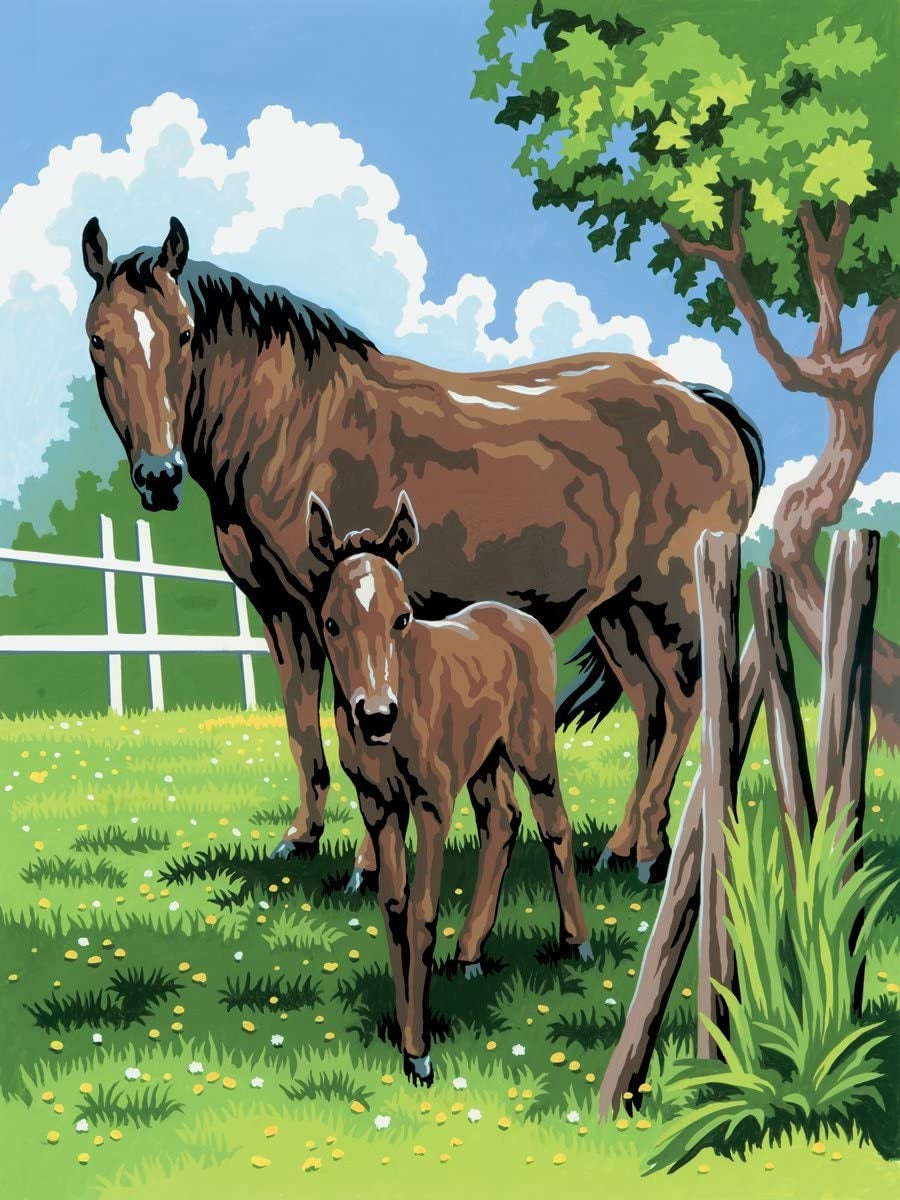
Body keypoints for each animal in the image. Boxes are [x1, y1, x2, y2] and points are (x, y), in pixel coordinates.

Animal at [81, 215, 764, 883]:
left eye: (185, 333)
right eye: (98, 341)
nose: (159, 475)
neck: (296, 427)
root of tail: (701, 401)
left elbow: (348, 717)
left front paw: (366, 866)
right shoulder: (284, 612)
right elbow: (301, 726)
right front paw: (301, 840)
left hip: (673, 599)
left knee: (687, 702)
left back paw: (649, 853)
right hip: (618, 610)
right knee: (652, 707)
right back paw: (626, 847)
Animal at [307, 488, 592, 1083]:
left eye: (403, 617)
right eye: (331, 623)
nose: (375, 715)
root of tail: (520, 619)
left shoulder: (431, 801)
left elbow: (420, 912)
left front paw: (420, 1054)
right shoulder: (376, 803)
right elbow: (392, 905)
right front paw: (403, 1035)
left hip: (532, 747)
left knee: (553, 823)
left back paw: (577, 943)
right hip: (486, 760)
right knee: (502, 821)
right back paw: (469, 955)